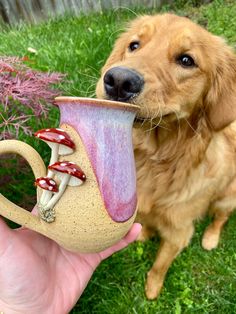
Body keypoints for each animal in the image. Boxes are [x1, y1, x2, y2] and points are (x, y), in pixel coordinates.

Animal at [95, 14, 236, 300]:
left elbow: (160, 264)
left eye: (186, 60)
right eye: (134, 45)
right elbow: (147, 223)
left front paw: (152, 289)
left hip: (227, 198)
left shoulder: (178, 232)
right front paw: (143, 234)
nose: (118, 80)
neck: (154, 159)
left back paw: (211, 238)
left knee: (220, 218)